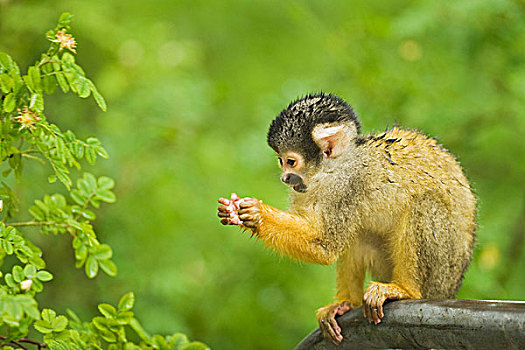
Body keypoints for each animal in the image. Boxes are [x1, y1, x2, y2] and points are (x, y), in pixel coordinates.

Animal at [216, 93, 474, 344]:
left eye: (290, 161)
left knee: (423, 203)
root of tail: (450, 289)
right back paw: (346, 303)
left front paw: (256, 214)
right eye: (281, 161)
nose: (285, 177)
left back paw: (406, 290)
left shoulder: (347, 185)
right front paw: (235, 213)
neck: (332, 169)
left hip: (441, 272)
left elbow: (325, 245)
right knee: (359, 231)